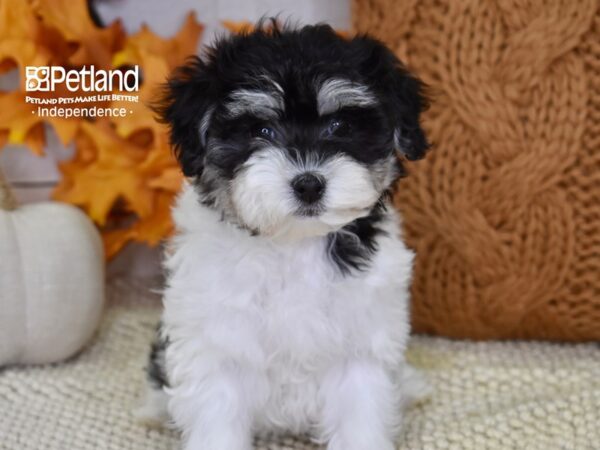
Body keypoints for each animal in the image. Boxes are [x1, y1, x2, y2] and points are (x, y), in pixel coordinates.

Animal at [139, 20, 432, 450]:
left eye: (340, 126)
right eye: (262, 130)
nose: (308, 184)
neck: (293, 243)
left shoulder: (359, 347)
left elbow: (359, 414)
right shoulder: (217, 345)